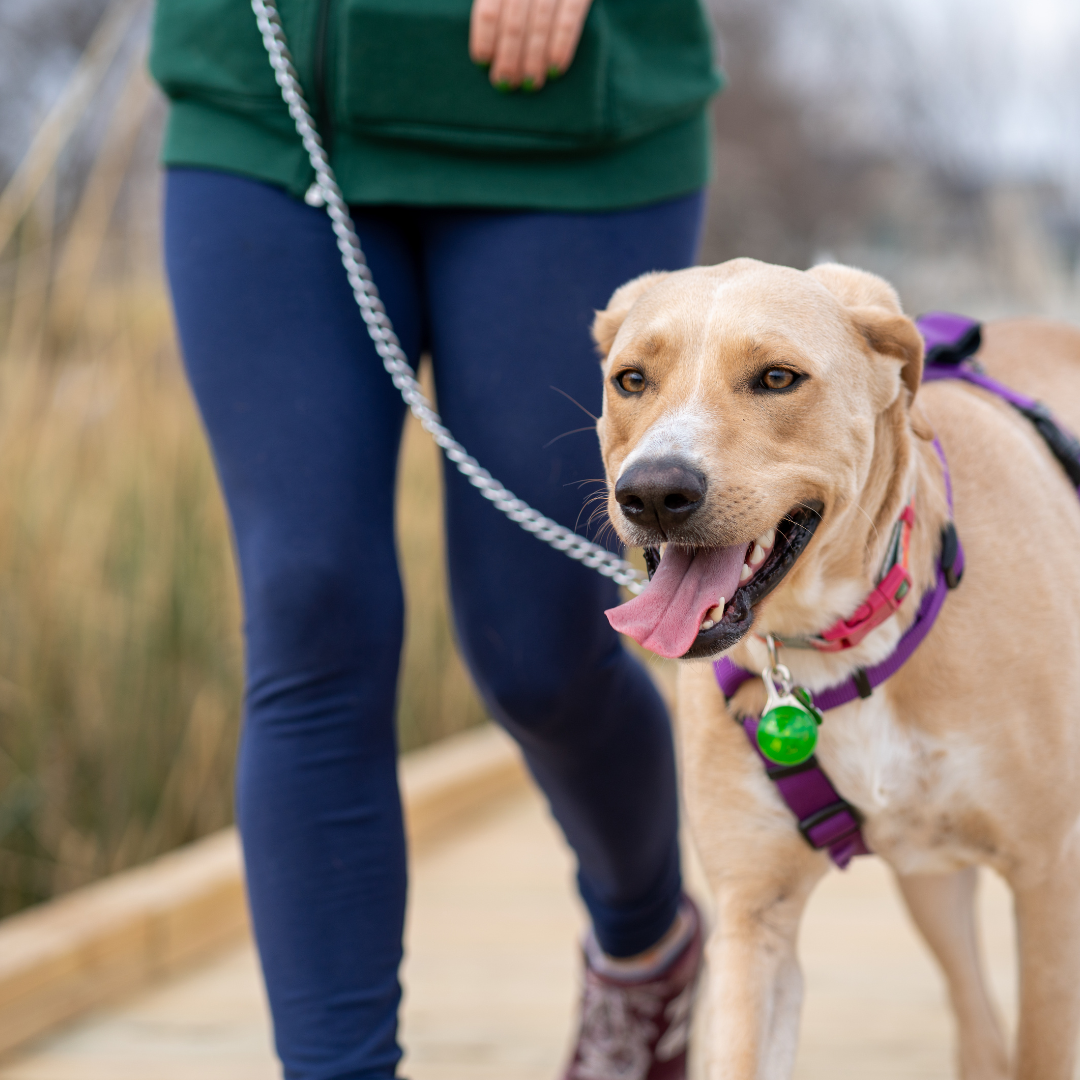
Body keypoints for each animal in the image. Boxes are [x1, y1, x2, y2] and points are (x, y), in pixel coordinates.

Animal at [596, 261, 1080, 1080]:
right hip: (929, 877)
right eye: (630, 379)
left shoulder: (1049, 880)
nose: (654, 492)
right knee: (976, 1023)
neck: (828, 648)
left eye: (777, 377)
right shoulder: (755, 917)